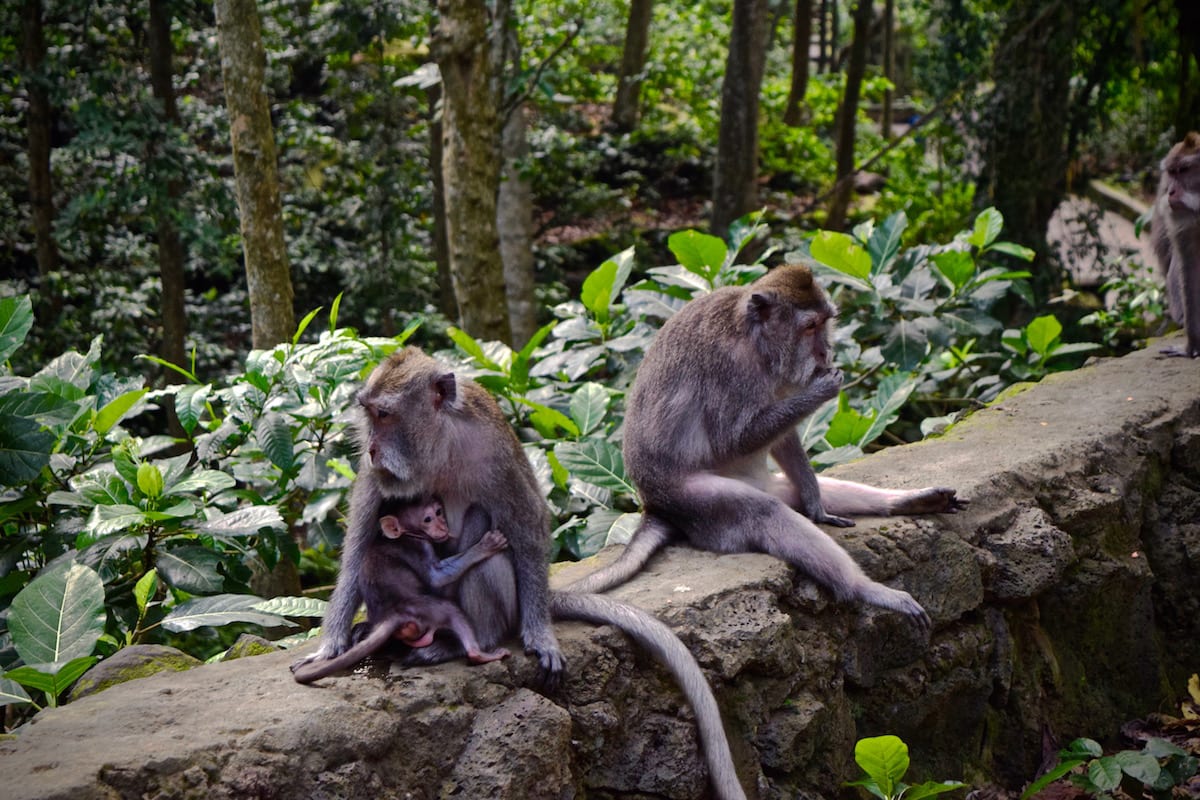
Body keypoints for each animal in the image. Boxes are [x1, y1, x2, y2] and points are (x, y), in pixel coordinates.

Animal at [297, 496, 513, 681]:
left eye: (439, 512)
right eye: (427, 519)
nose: (442, 526)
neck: (405, 534)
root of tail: (392, 615)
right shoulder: (419, 546)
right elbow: (437, 578)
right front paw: (485, 546)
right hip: (427, 609)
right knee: (452, 611)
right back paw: (479, 654)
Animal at [564, 262, 964, 623]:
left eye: (826, 322)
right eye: (810, 326)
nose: (826, 354)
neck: (753, 340)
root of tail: (653, 506)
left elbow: (783, 439)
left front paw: (816, 504)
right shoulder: (729, 367)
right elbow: (731, 441)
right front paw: (822, 389)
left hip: (756, 485)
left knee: (791, 495)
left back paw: (905, 502)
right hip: (696, 504)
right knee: (764, 511)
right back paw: (865, 589)